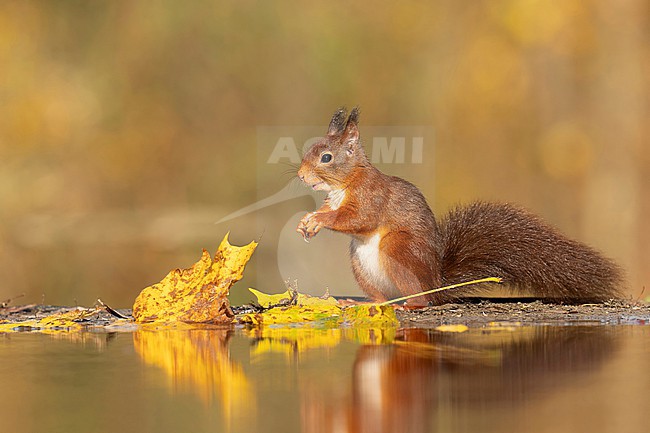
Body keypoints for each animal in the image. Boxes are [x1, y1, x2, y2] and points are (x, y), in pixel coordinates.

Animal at [296, 107, 623, 305]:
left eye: (325, 157)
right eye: (309, 150)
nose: (300, 175)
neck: (344, 183)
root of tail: (436, 284)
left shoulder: (370, 195)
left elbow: (356, 219)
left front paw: (318, 221)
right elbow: (332, 212)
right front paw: (307, 221)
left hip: (398, 248)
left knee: (420, 301)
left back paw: (409, 306)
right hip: (361, 266)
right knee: (383, 298)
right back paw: (363, 302)